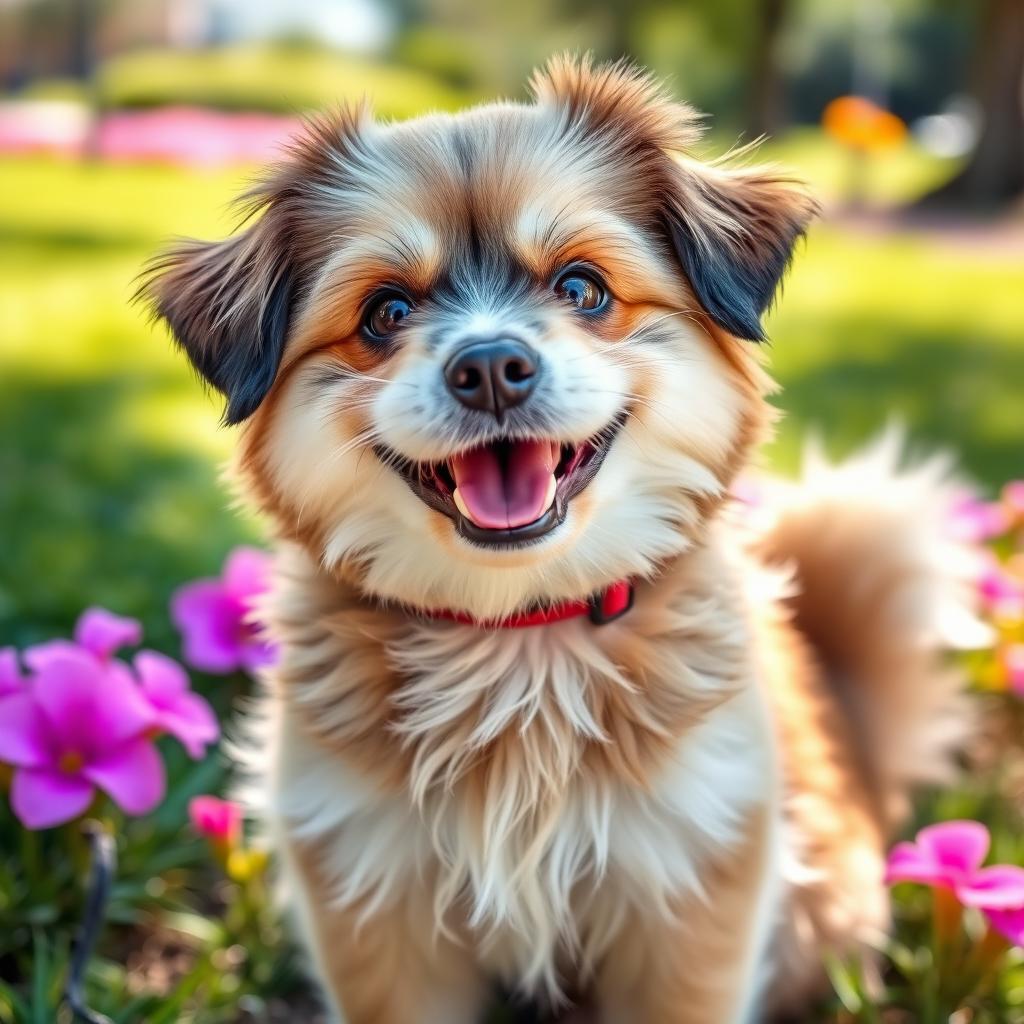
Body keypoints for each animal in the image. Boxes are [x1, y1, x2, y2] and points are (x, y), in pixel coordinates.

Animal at [142, 56, 974, 1024]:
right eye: (385, 312)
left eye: (581, 288)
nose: (490, 367)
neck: (518, 638)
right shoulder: (376, 906)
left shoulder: (692, 887)